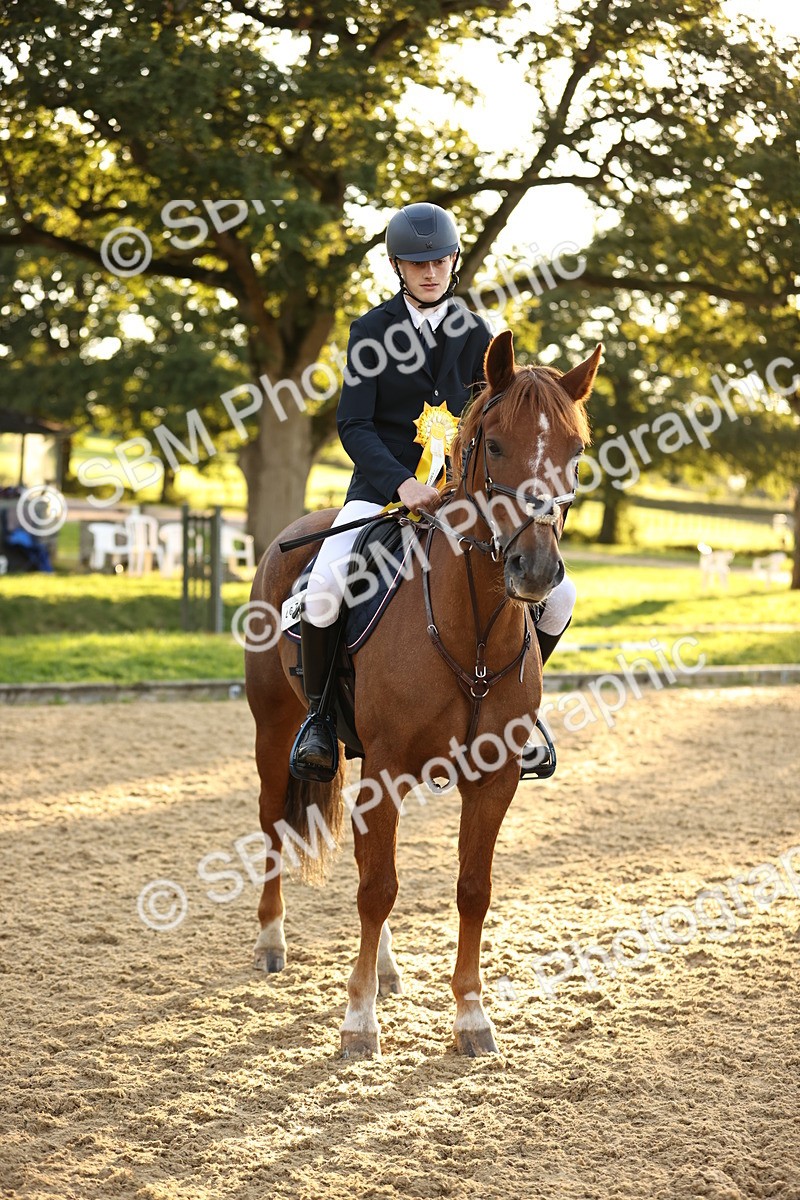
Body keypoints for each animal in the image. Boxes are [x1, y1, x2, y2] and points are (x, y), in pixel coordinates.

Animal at [244, 329, 599, 1057]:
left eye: (575, 451)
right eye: (495, 444)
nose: (535, 571)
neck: (473, 634)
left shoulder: (493, 778)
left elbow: (472, 888)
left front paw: (471, 1016)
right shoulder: (384, 769)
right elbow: (377, 887)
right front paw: (358, 1022)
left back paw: (385, 970)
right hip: (274, 726)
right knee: (272, 822)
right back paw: (272, 941)